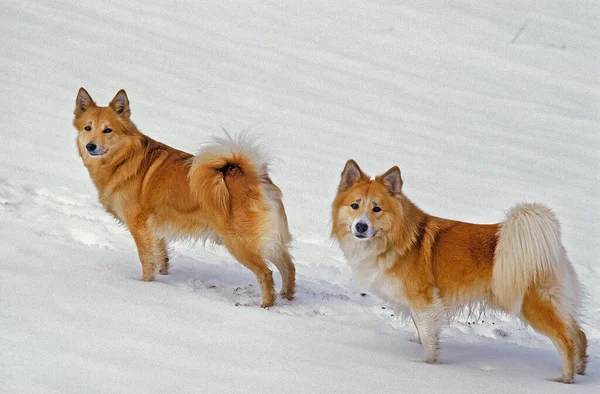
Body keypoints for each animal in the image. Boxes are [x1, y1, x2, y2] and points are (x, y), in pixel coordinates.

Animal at [72, 88, 296, 308]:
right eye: (87, 128)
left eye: (108, 130)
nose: (90, 146)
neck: (124, 159)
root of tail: (252, 175)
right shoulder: (155, 228)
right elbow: (160, 256)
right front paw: (162, 276)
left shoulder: (139, 225)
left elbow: (146, 260)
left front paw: (144, 285)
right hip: (267, 239)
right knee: (288, 266)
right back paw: (287, 297)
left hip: (239, 241)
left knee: (266, 273)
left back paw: (266, 306)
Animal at [330, 159, 588, 382]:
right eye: (355, 206)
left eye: (377, 209)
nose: (361, 226)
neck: (398, 240)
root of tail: (549, 245)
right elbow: (423, 331)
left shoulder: (424, 300)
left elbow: (428, 337)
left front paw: (427, 365)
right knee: (579, 333)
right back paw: (581, 371)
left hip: (532, 305)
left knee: (566, 339)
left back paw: (564, 379)